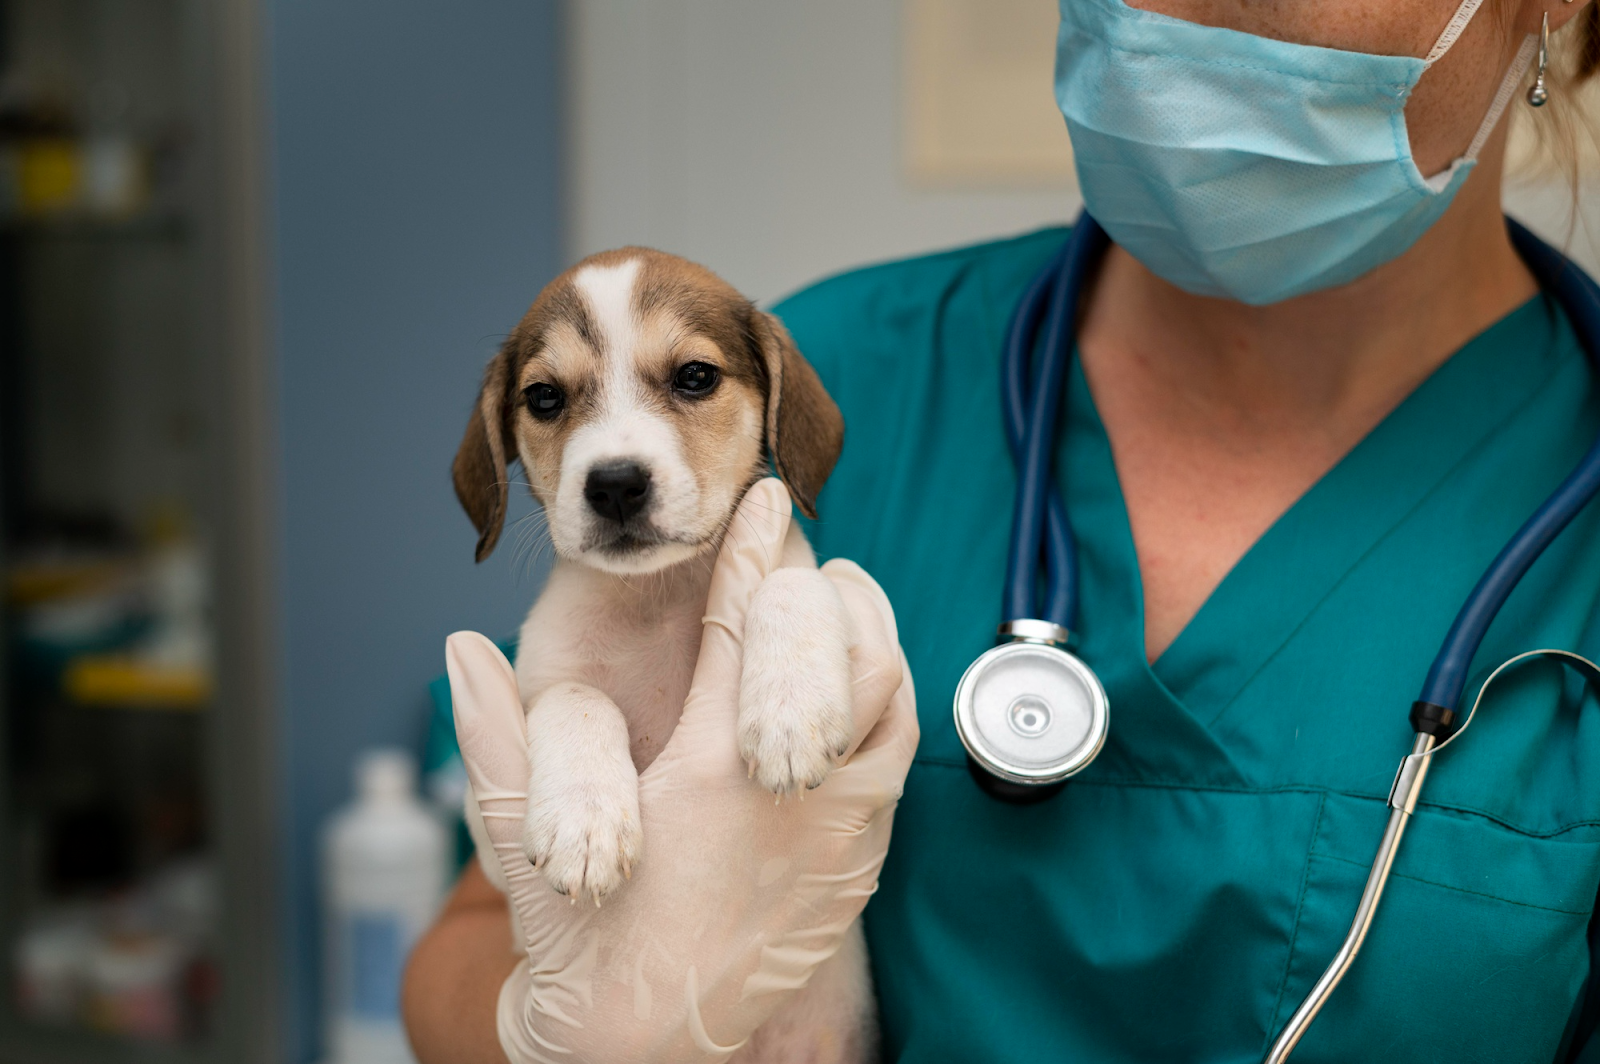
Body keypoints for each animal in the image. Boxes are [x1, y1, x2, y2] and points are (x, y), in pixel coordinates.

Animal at [451, 246, 876, 1056]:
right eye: (544, 397)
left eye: (696, 377)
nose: (615, 484)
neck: (655, 602)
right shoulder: (488, 813)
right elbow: (576, 696)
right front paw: (585, 816)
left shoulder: (814, 576)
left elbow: (792, 583)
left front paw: (789, 712)